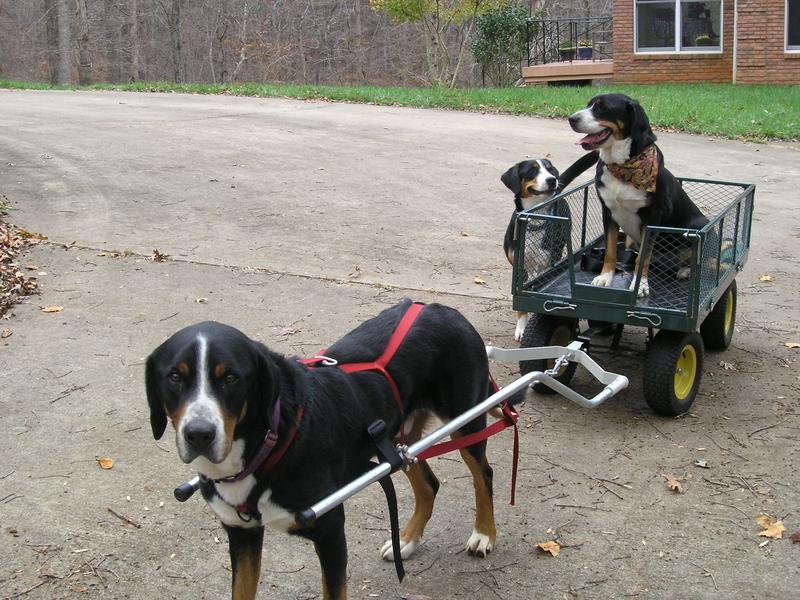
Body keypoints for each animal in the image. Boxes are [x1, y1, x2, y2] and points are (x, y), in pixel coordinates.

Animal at [145, 300, 506, 600]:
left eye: (231, 377)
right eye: (174, 377)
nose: (199, 434)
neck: (267, 447)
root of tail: (444, 309)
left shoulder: (331, 532)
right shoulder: (242, 534)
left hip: (466, 421)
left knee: (483, 474)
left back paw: (483, 534)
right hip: (396, 437)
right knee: (428, 484)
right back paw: (406, 540)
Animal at [568, 94, 708, 298]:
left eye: (602, 107)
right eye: (589, 105)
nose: (571, 119)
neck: (623, 166)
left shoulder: (652, 217)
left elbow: (643, 258)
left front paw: (640, 285)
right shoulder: (608, 211)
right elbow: (611, 251)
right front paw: (605, 277)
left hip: (698, 226)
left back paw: (687, 271)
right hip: (630, 239)